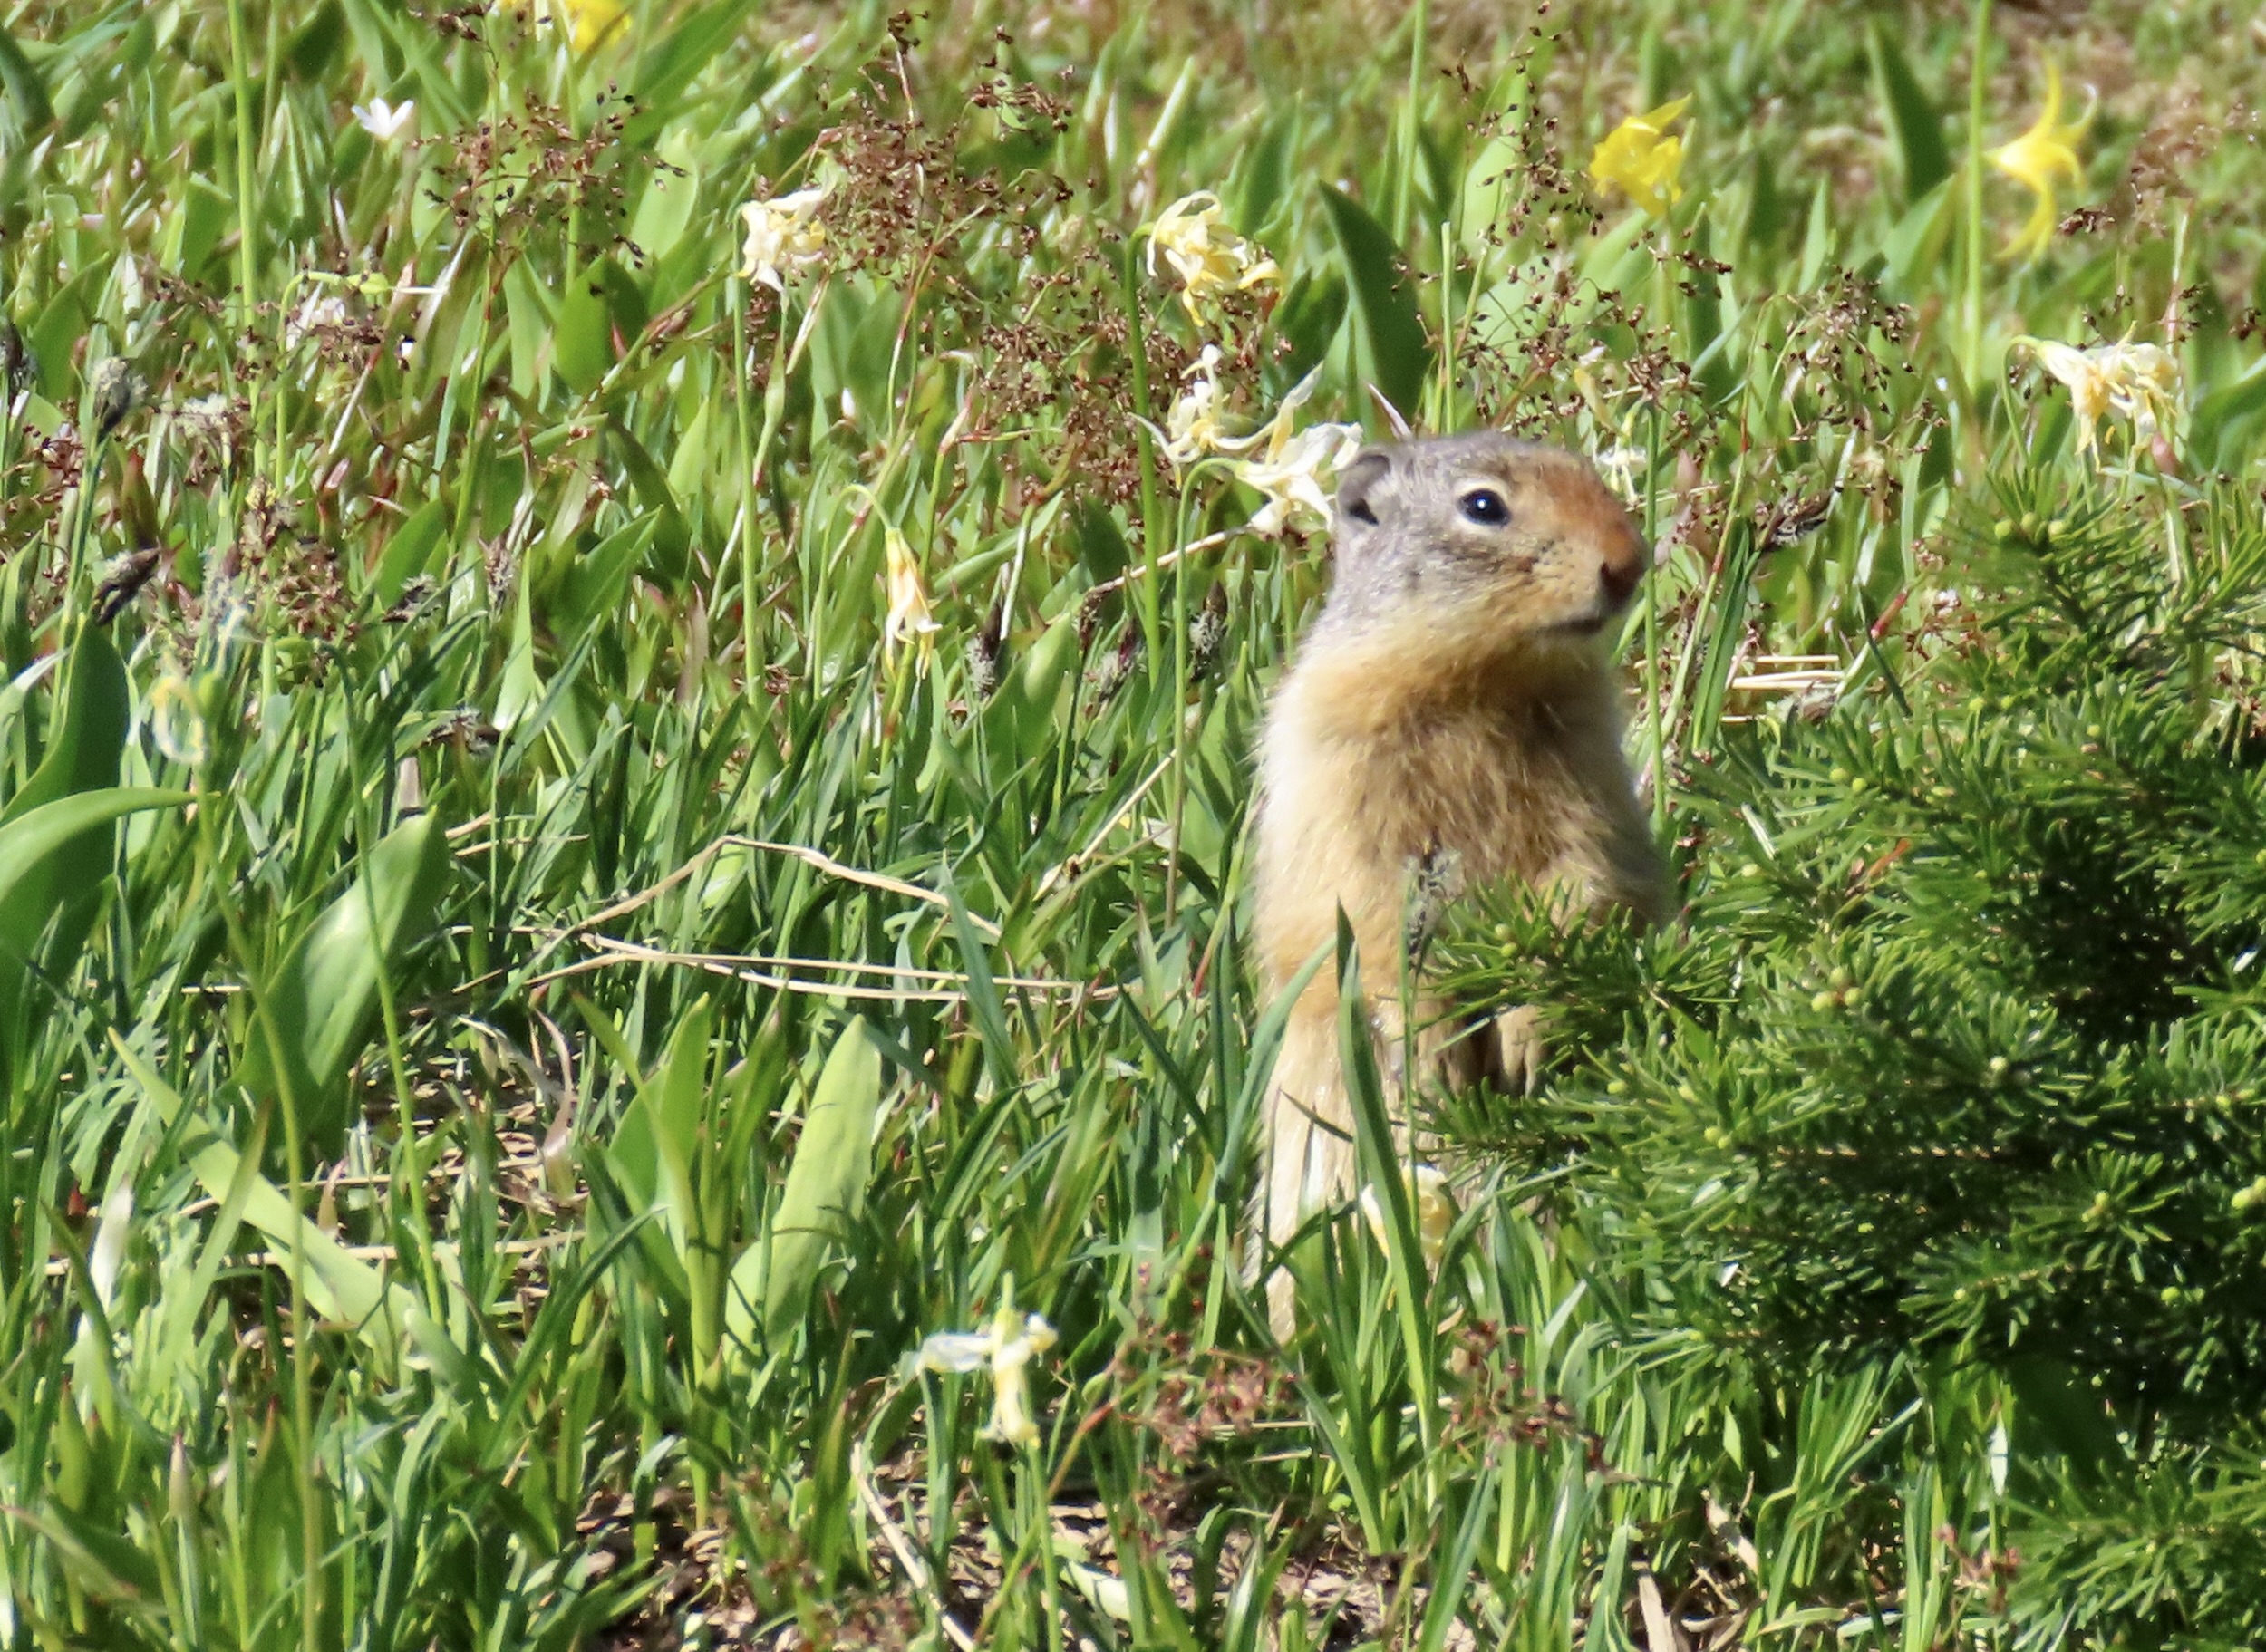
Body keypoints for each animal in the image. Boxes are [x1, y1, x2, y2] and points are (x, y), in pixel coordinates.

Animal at [1250, 430, 1668, 1331]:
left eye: (1588, 470)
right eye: (1483, 505)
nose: (1630, 561)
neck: (1479, 683)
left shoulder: (1592, 775)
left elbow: (1590, 877)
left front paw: (1528, 1030)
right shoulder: (1338, 774)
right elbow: (1364, 913)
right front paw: (1431, 1042)